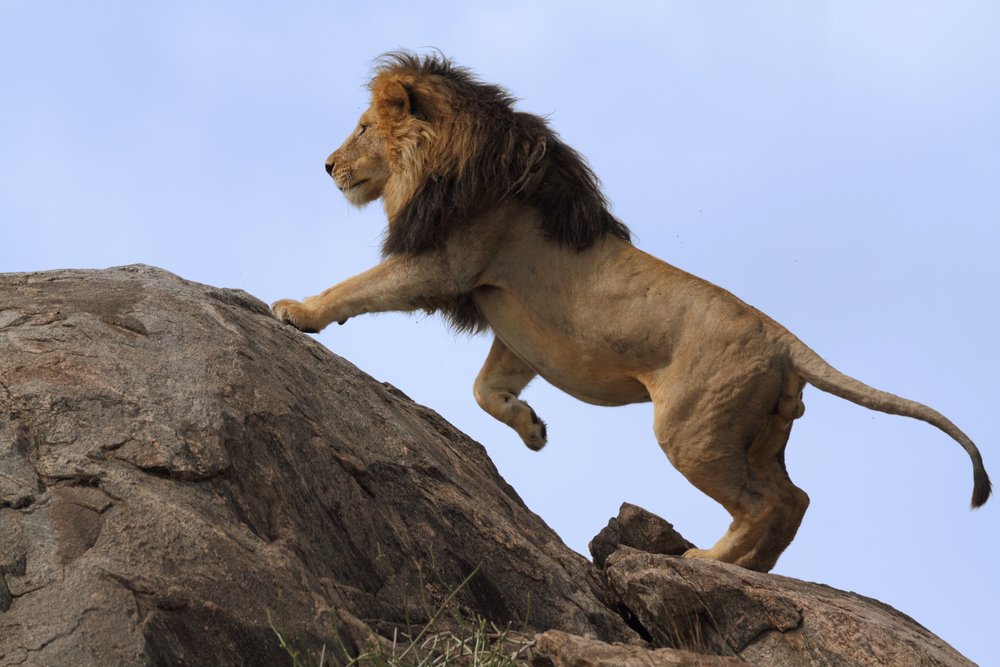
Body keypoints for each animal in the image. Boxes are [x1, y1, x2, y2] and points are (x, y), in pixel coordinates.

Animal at [272, 52, 991, 572]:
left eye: (364, 128)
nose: (329, 165)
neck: (458, 158)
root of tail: (786, 340)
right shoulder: (516, 323)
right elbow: (484, 389)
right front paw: (533, 429)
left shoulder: (442, 265)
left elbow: (358, 288)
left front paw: (297, 311)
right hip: (756, 430)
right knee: (794, 498)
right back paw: (751, 569)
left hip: (691, 429)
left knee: (762, 503)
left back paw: (709, 559)